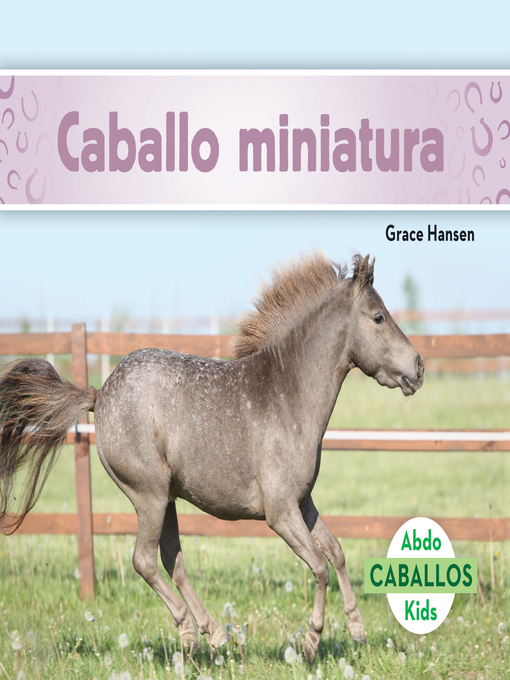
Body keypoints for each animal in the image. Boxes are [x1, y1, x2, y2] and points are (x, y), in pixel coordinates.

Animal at [0, 252, 424, 664]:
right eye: (379, 317)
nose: (418, 367)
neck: (289, 395)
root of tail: (99, 394)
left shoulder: (302, 503)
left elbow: (336, 553)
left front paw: (357, 628)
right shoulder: (280, 513)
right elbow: (319, 567)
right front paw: (310, 642)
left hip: (167, 500)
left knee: (172, 561)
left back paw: (212, 633)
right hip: (149, 495)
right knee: (145, 560)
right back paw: (196, 631)